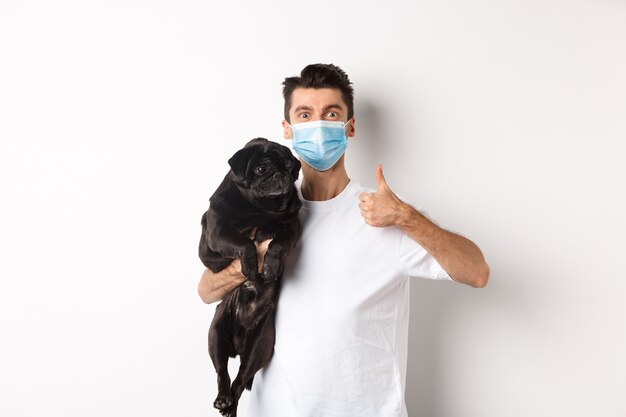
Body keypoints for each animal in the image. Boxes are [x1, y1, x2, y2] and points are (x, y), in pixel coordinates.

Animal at [196, 138, 302, 414]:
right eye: (261, 169)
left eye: (289, 166)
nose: (280, 173)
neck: (261, 208)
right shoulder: (217, 234)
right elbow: (244, 244)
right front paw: (251, 267)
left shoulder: (292, 227)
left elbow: (276, 244)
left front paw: (270, 267)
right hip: (215, 334)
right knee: (222, 372)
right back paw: (223, 399)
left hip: (258, 346)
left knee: (241, 379)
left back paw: (230, 405)